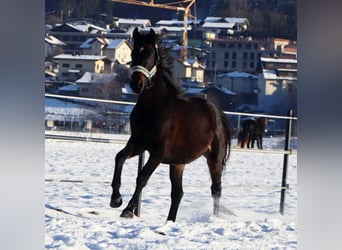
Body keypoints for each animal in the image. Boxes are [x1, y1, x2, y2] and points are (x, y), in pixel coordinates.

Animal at [109, 28, 232, 222]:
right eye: (134, 53)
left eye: (150, 54)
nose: (136, 84)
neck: (153, 109)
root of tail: (216, 112)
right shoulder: (137, 144)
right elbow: (119, 158)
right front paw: (115, 199)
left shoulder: (158, 153)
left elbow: (142, 177)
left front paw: (128, 209)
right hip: (178, 163)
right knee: (178, 193)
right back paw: (170, 221)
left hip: (214, 159)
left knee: (216, 190)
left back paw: (214, 218)